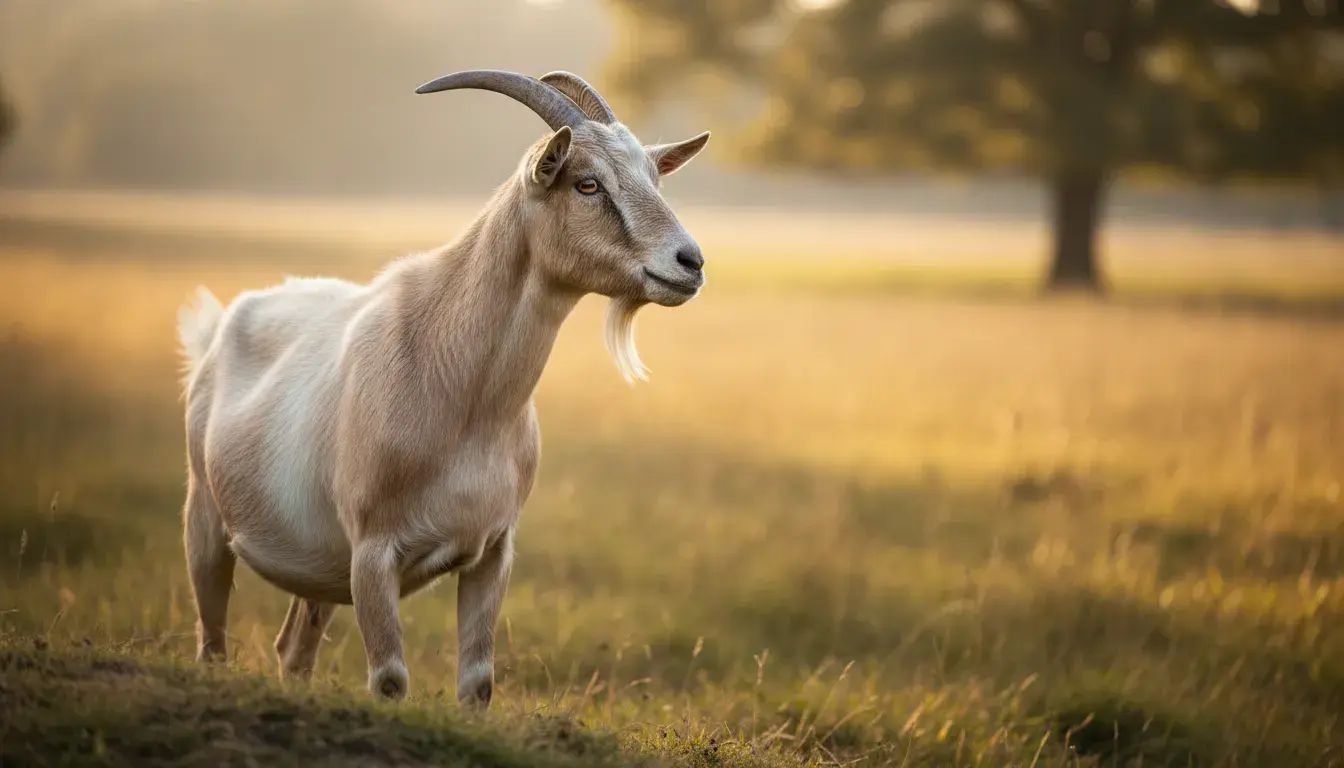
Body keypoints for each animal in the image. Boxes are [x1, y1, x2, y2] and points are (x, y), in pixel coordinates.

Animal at [176, 70, 710, 706]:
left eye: (655, 177)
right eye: (587, 183)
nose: (690, 262)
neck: (466, 397)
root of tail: (218, 327)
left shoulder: (492, 551)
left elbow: (477, 683)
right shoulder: (373, 551)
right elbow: (389, 679)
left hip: (320, 572)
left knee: (292, 652)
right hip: (205, 518)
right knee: (212, 641)